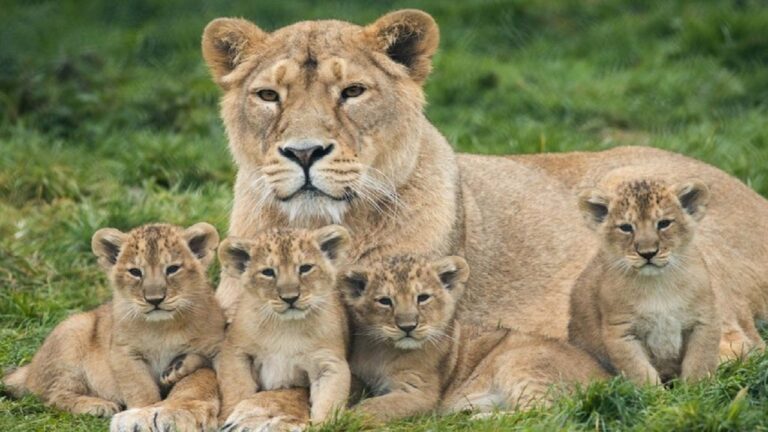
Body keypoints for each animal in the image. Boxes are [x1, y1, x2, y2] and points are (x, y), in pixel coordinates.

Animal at [2, 223, 225, 426]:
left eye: (172, 269)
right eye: (135, 272)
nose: (154, 300)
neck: (162, 327)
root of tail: (30, 370)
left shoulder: (214, 345)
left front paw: (177, 368)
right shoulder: (124, 353)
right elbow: (141, 388)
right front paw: (143, 414)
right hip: (73, 332)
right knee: (53, 395)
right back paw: (97, 406)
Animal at [215, 226, 351, 427]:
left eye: (305, 268)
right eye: (268, 272)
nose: (290, 298)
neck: (286, 327)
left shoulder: (329, 363)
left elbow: (328, 402)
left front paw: (324, 426)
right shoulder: (236, 351)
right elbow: (237, 388)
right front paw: (228, 417)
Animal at [569, 178, 720, 384]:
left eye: (664, 223)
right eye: (626, 227)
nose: (648, 253)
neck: (657, 284)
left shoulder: (704, 320)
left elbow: (699, 363)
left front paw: (696, 389)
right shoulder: (621, 332)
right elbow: (641, 372)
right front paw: (657, 393)